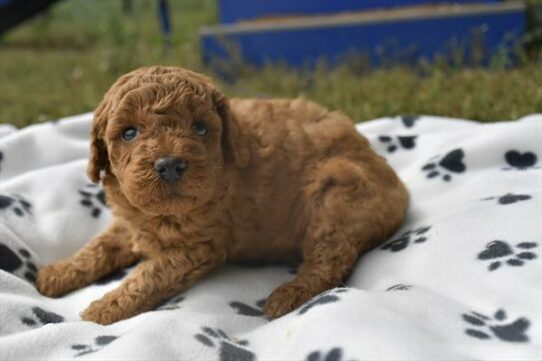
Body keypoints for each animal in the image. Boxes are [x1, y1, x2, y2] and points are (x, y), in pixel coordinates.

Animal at [35, 65, 408, 324]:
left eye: (201, 128)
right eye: (129, 133)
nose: (170, 164)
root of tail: (397, 186)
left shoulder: (199, 249)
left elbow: (148, 275)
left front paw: (104, 308)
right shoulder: (131, 222)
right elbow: (99, 247)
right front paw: (56, 274)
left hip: (335, 197)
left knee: (331, 258)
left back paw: (286, 297)